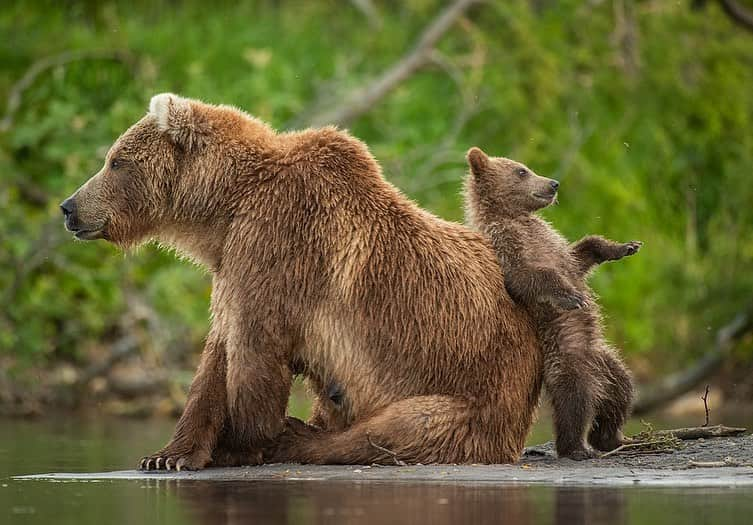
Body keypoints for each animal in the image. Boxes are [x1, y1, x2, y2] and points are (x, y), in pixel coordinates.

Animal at [58, 93, 540, 466]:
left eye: (115, 161)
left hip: (473, 389)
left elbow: (255, 349)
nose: (68, 206)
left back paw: (299, 436)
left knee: (402, 427)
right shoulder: (234, 262)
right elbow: (217, 353)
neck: (225, 208)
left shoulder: (278, 244)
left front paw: (239, 445)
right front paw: (168, 455)